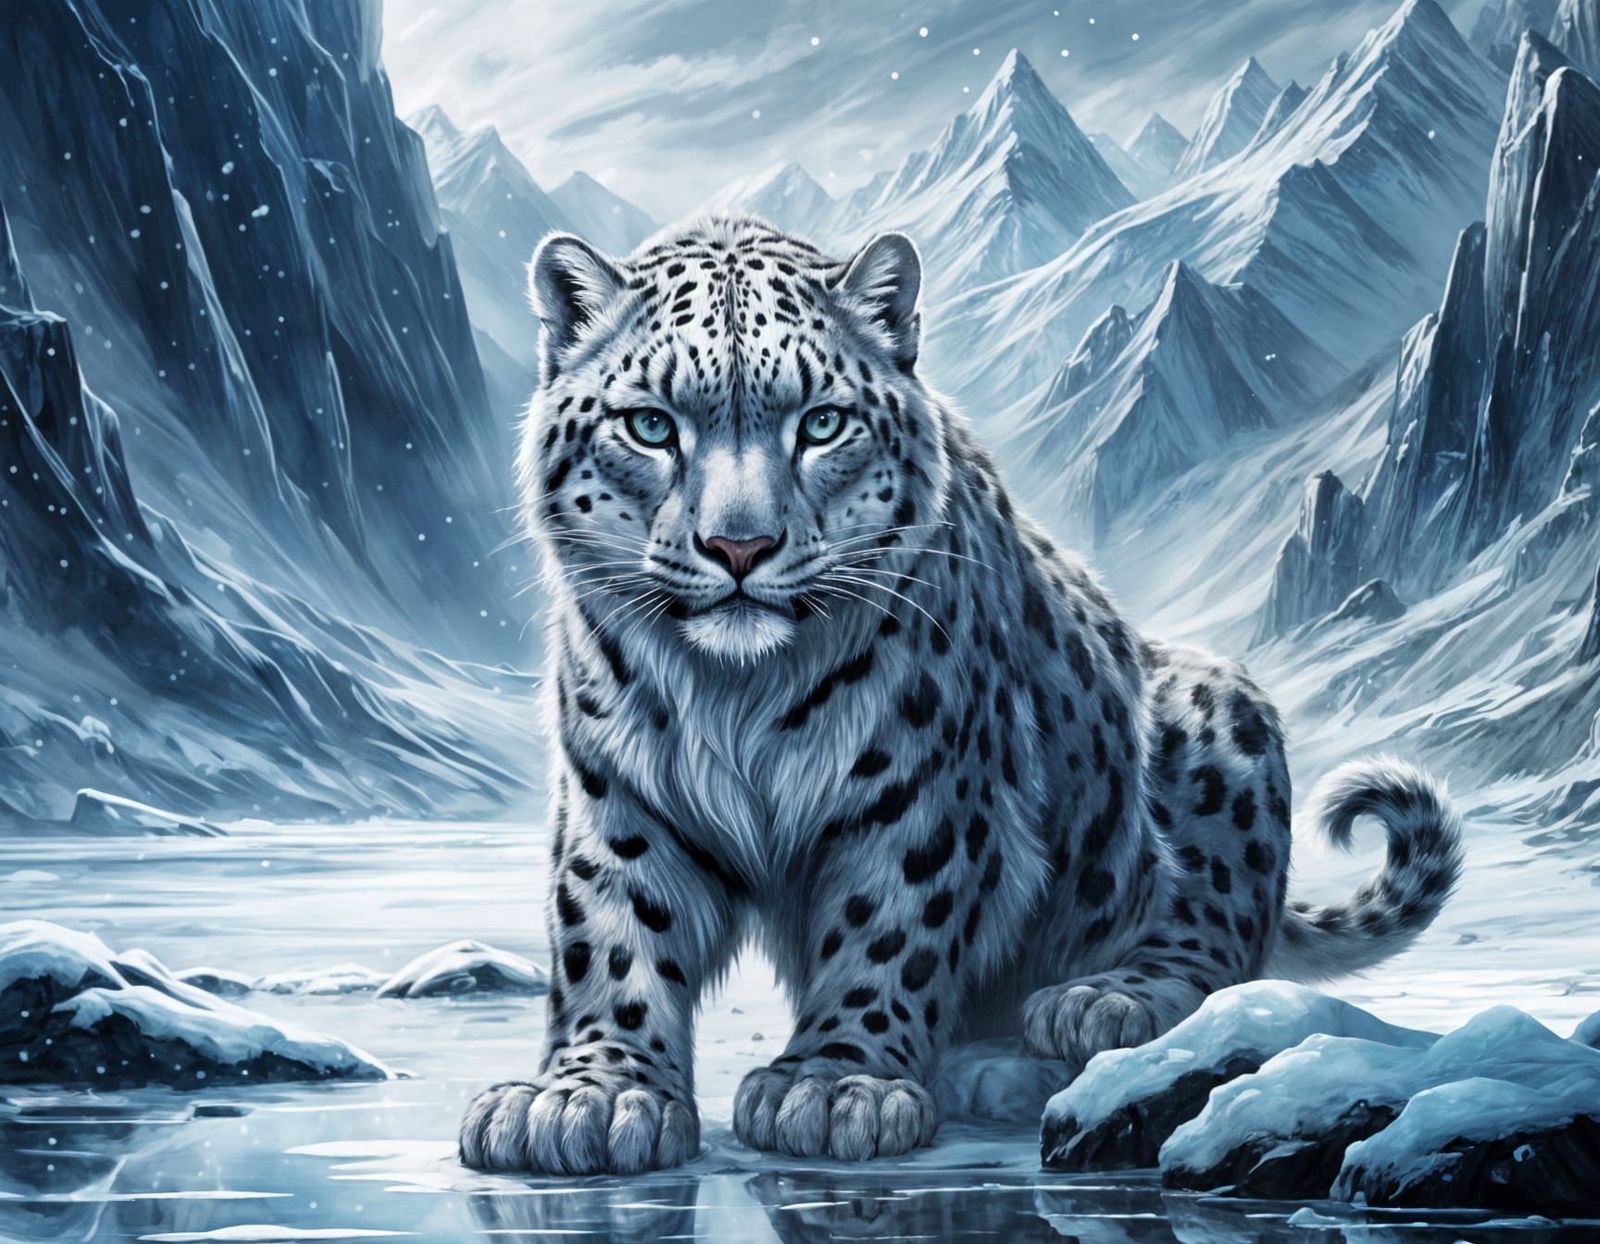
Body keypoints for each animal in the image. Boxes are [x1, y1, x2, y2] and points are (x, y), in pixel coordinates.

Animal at [458, 213, 1463, 1175]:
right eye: (652, 426)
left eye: (820, 424)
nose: (739, 547)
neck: (735, 694)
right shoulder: (621, 788)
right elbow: (612, 932)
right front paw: (591, 1095)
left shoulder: (919, 786)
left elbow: (887, 924)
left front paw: (835, 1083)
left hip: (1214, 715)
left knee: (1214, 930)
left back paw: (1096, 1004)